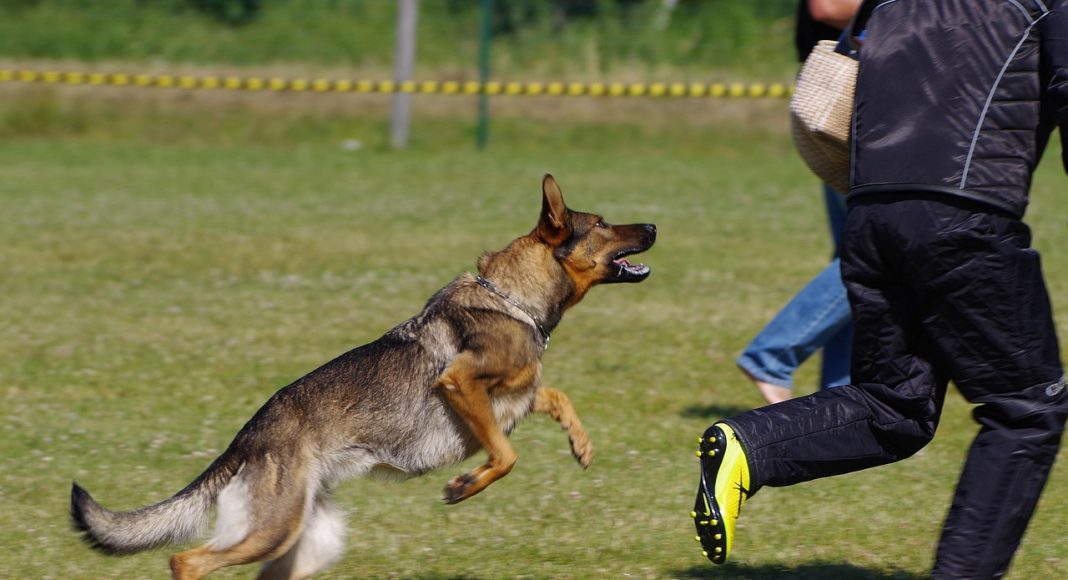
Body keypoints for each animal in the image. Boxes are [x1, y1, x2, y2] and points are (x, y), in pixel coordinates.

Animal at [71, 176, 653, 580]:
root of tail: (247, 439)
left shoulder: (515, 395)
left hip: (308, 543)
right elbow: (505, 455)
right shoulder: (460, 384)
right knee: (185, 562)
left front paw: (581, 444)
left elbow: (555, 396)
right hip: (270, 529)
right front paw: (464, 486)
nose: (653, 227)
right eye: (603, 222)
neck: (513, 299)